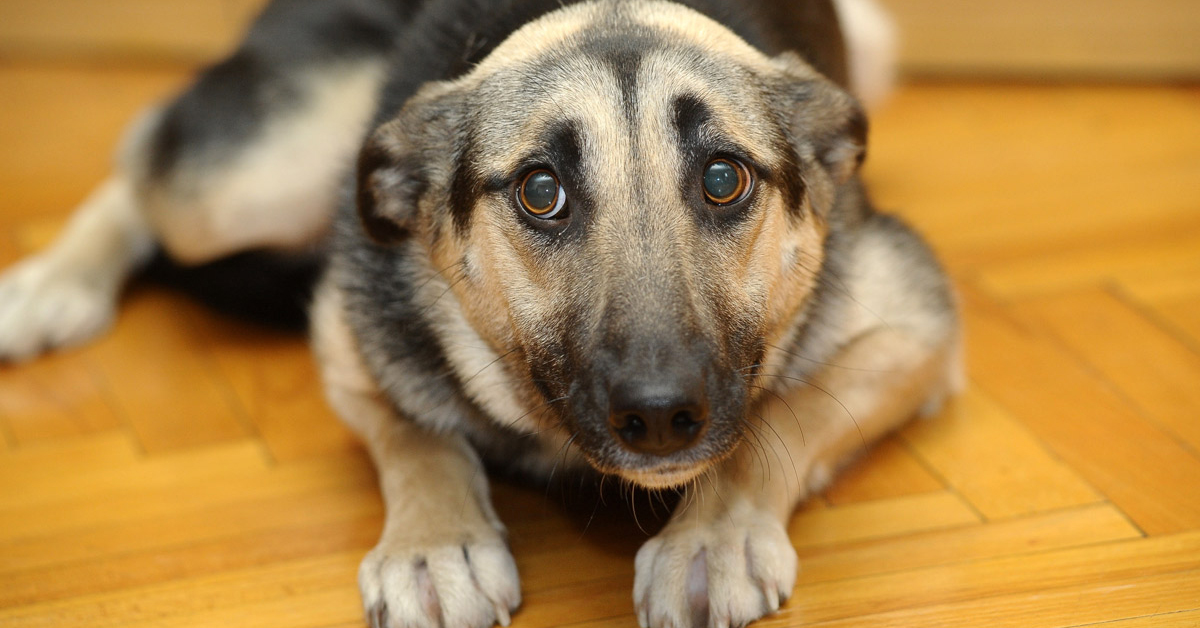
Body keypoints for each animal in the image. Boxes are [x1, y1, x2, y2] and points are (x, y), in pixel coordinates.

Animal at [0, 0, 955, 624]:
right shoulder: (345, 335)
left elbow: (778, 418)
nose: (659, 417)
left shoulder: (918, 327)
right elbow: (415, 432)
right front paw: (436, 541)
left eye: (724, 178)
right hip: (239, 184)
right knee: (142, 158)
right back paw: (52, 284)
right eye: (541, 191)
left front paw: (714, 536)